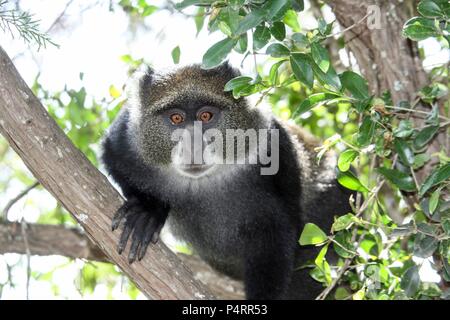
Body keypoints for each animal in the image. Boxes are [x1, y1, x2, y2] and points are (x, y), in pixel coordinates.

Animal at [102, 63, 356, 300]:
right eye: (176, 118)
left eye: (206, 116)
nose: (193, 146)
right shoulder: (126, 136)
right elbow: (111, 154)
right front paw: (149, 209)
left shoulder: (275, 147)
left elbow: (278, 237)